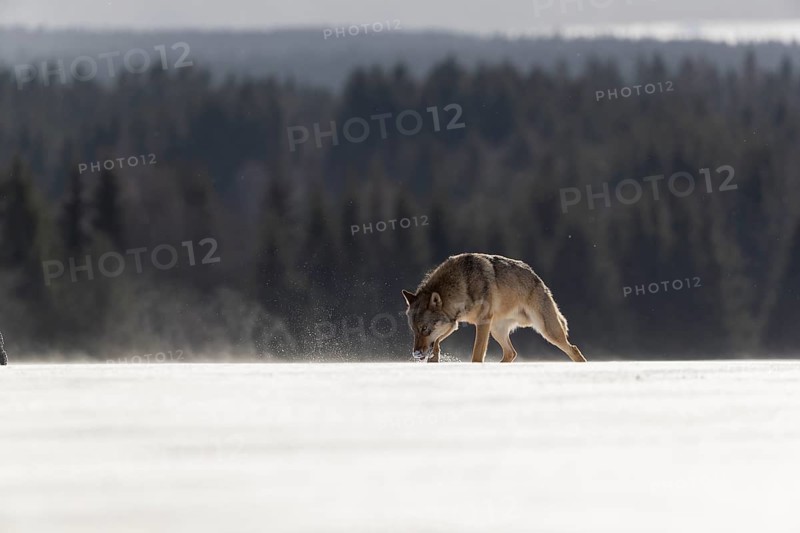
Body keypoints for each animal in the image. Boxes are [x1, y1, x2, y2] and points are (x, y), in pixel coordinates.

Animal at [402, 253, 586, 363]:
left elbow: (477, 354)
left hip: (547, 331)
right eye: (414, 330)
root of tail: (538, 279)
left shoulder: (482, 322)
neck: (462, 284)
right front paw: (434, 358)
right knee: (511, 353)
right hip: (497, 331)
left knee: (573, 349)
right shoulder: (454, 322)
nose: (416, 354)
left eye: (424, 328)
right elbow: (437, 341)